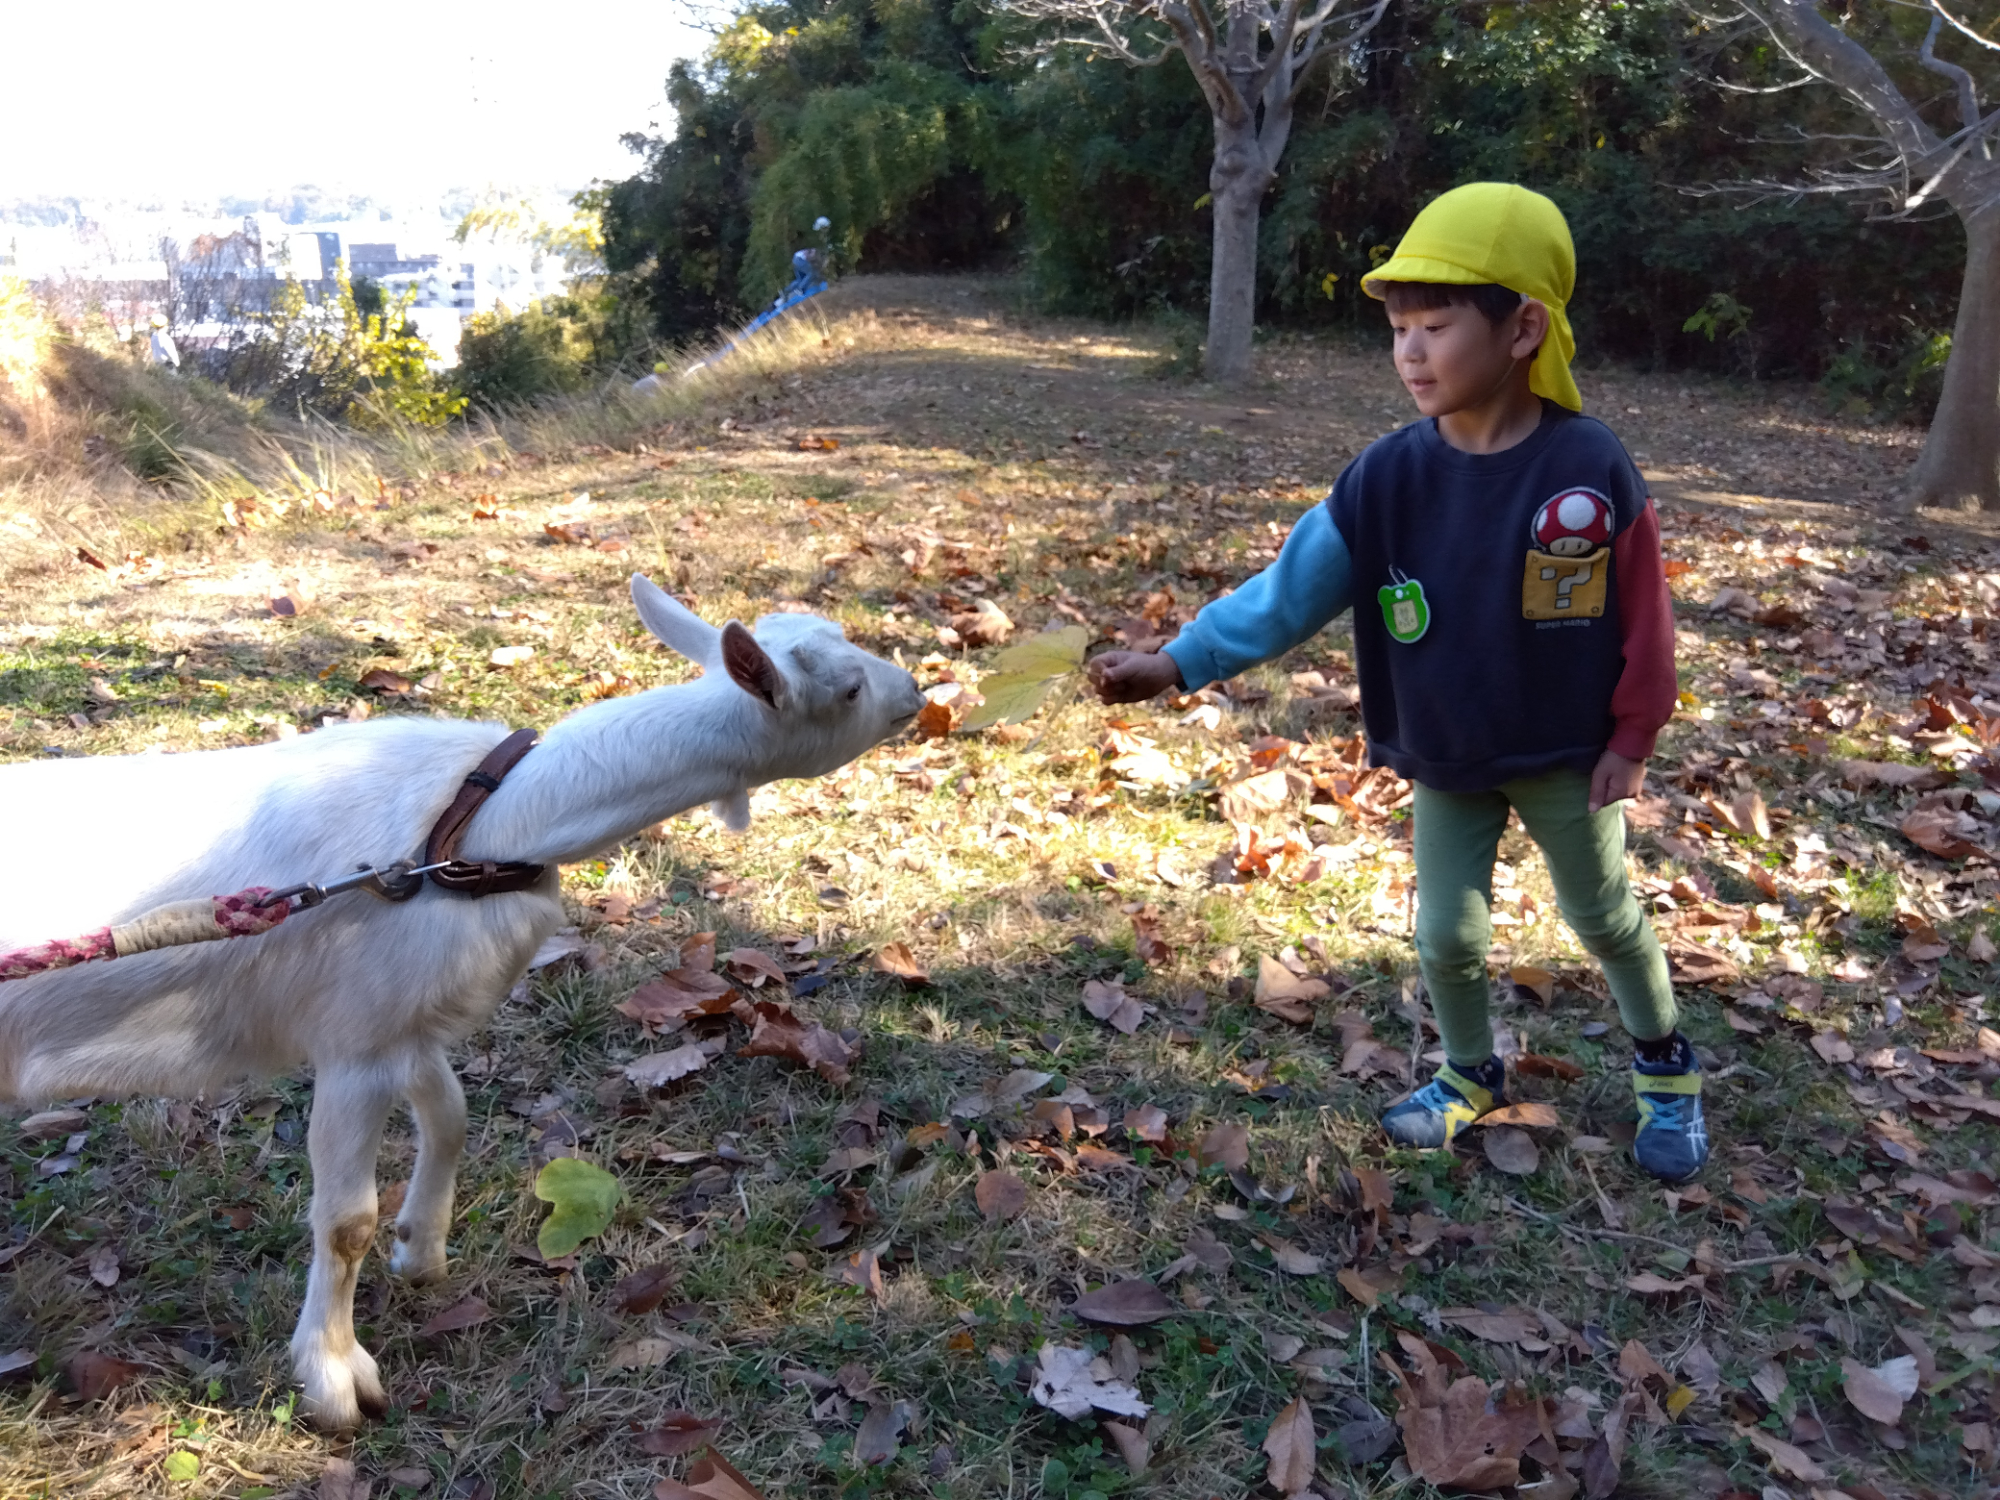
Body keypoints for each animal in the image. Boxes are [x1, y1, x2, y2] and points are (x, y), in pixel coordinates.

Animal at [0, 576, 920, 1432]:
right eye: (846, 689)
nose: (917, 693)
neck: (478, 828)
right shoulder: (355, 1036)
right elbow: (346, 1221)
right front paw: (335, 1380)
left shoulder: (407, 1020)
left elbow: (451, 1115)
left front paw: (422, 1251)